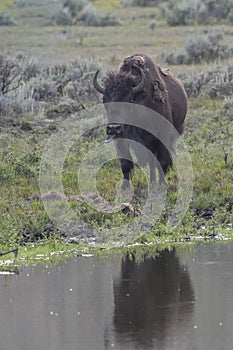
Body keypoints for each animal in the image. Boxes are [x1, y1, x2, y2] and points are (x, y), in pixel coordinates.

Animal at [93, 52, 187, 189]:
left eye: (130, 100)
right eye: (105, 101)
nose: (113, 128)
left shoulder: (160, 138)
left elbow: (162, 162)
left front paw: (162, 185)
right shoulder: (122, 141)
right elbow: (126, 164)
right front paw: (124, 188)